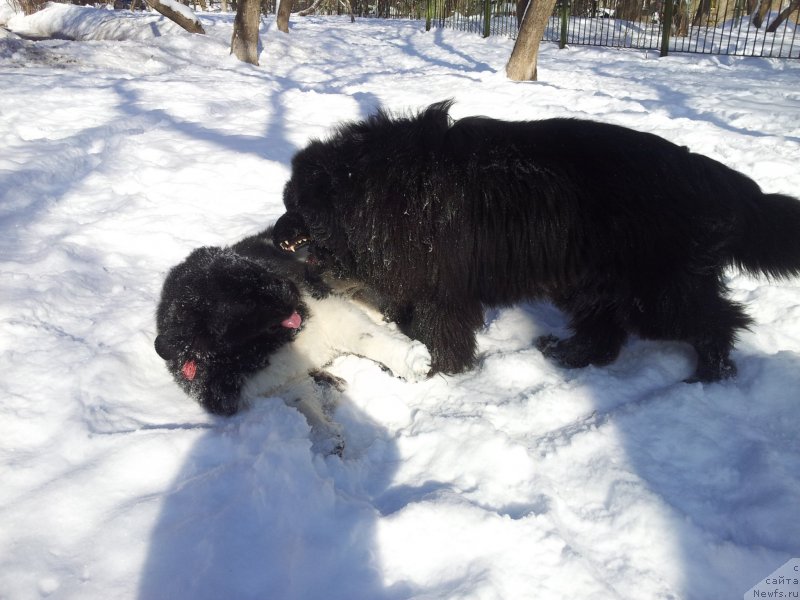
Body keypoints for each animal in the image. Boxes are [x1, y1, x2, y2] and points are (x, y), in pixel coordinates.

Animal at [155, 227, 432, 452]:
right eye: (243, 301)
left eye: (257, 271)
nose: (291, 287)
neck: (265, 344)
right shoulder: (272, 382)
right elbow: (301, 403)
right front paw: (325, 436)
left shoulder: (328, 311)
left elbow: (367, 338)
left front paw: (410, 360)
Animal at [276, 98, 800, 380]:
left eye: (295, 206)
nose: (278, 232)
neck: (376, 189)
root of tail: (710, 175)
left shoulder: (441, 288)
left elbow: (439, 330)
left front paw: (436, 370)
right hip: (592, 280)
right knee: (604, 328)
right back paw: (572, 355)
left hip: (655, 289)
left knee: (716, 319)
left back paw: (711, 372)